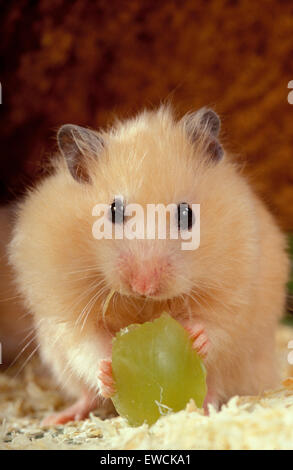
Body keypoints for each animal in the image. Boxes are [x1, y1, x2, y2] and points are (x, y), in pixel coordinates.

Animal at [8, 107, 288, 426]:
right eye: (114, 211)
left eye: (186, 214)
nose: (143, 285)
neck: (143, 304)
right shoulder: (65, 307)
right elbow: (87, 342)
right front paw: (107, 369)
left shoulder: (238, 285)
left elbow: (219, 323)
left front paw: (196, 337)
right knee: (86, 395)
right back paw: (57, 418)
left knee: (216, 384)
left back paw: (204, 408)